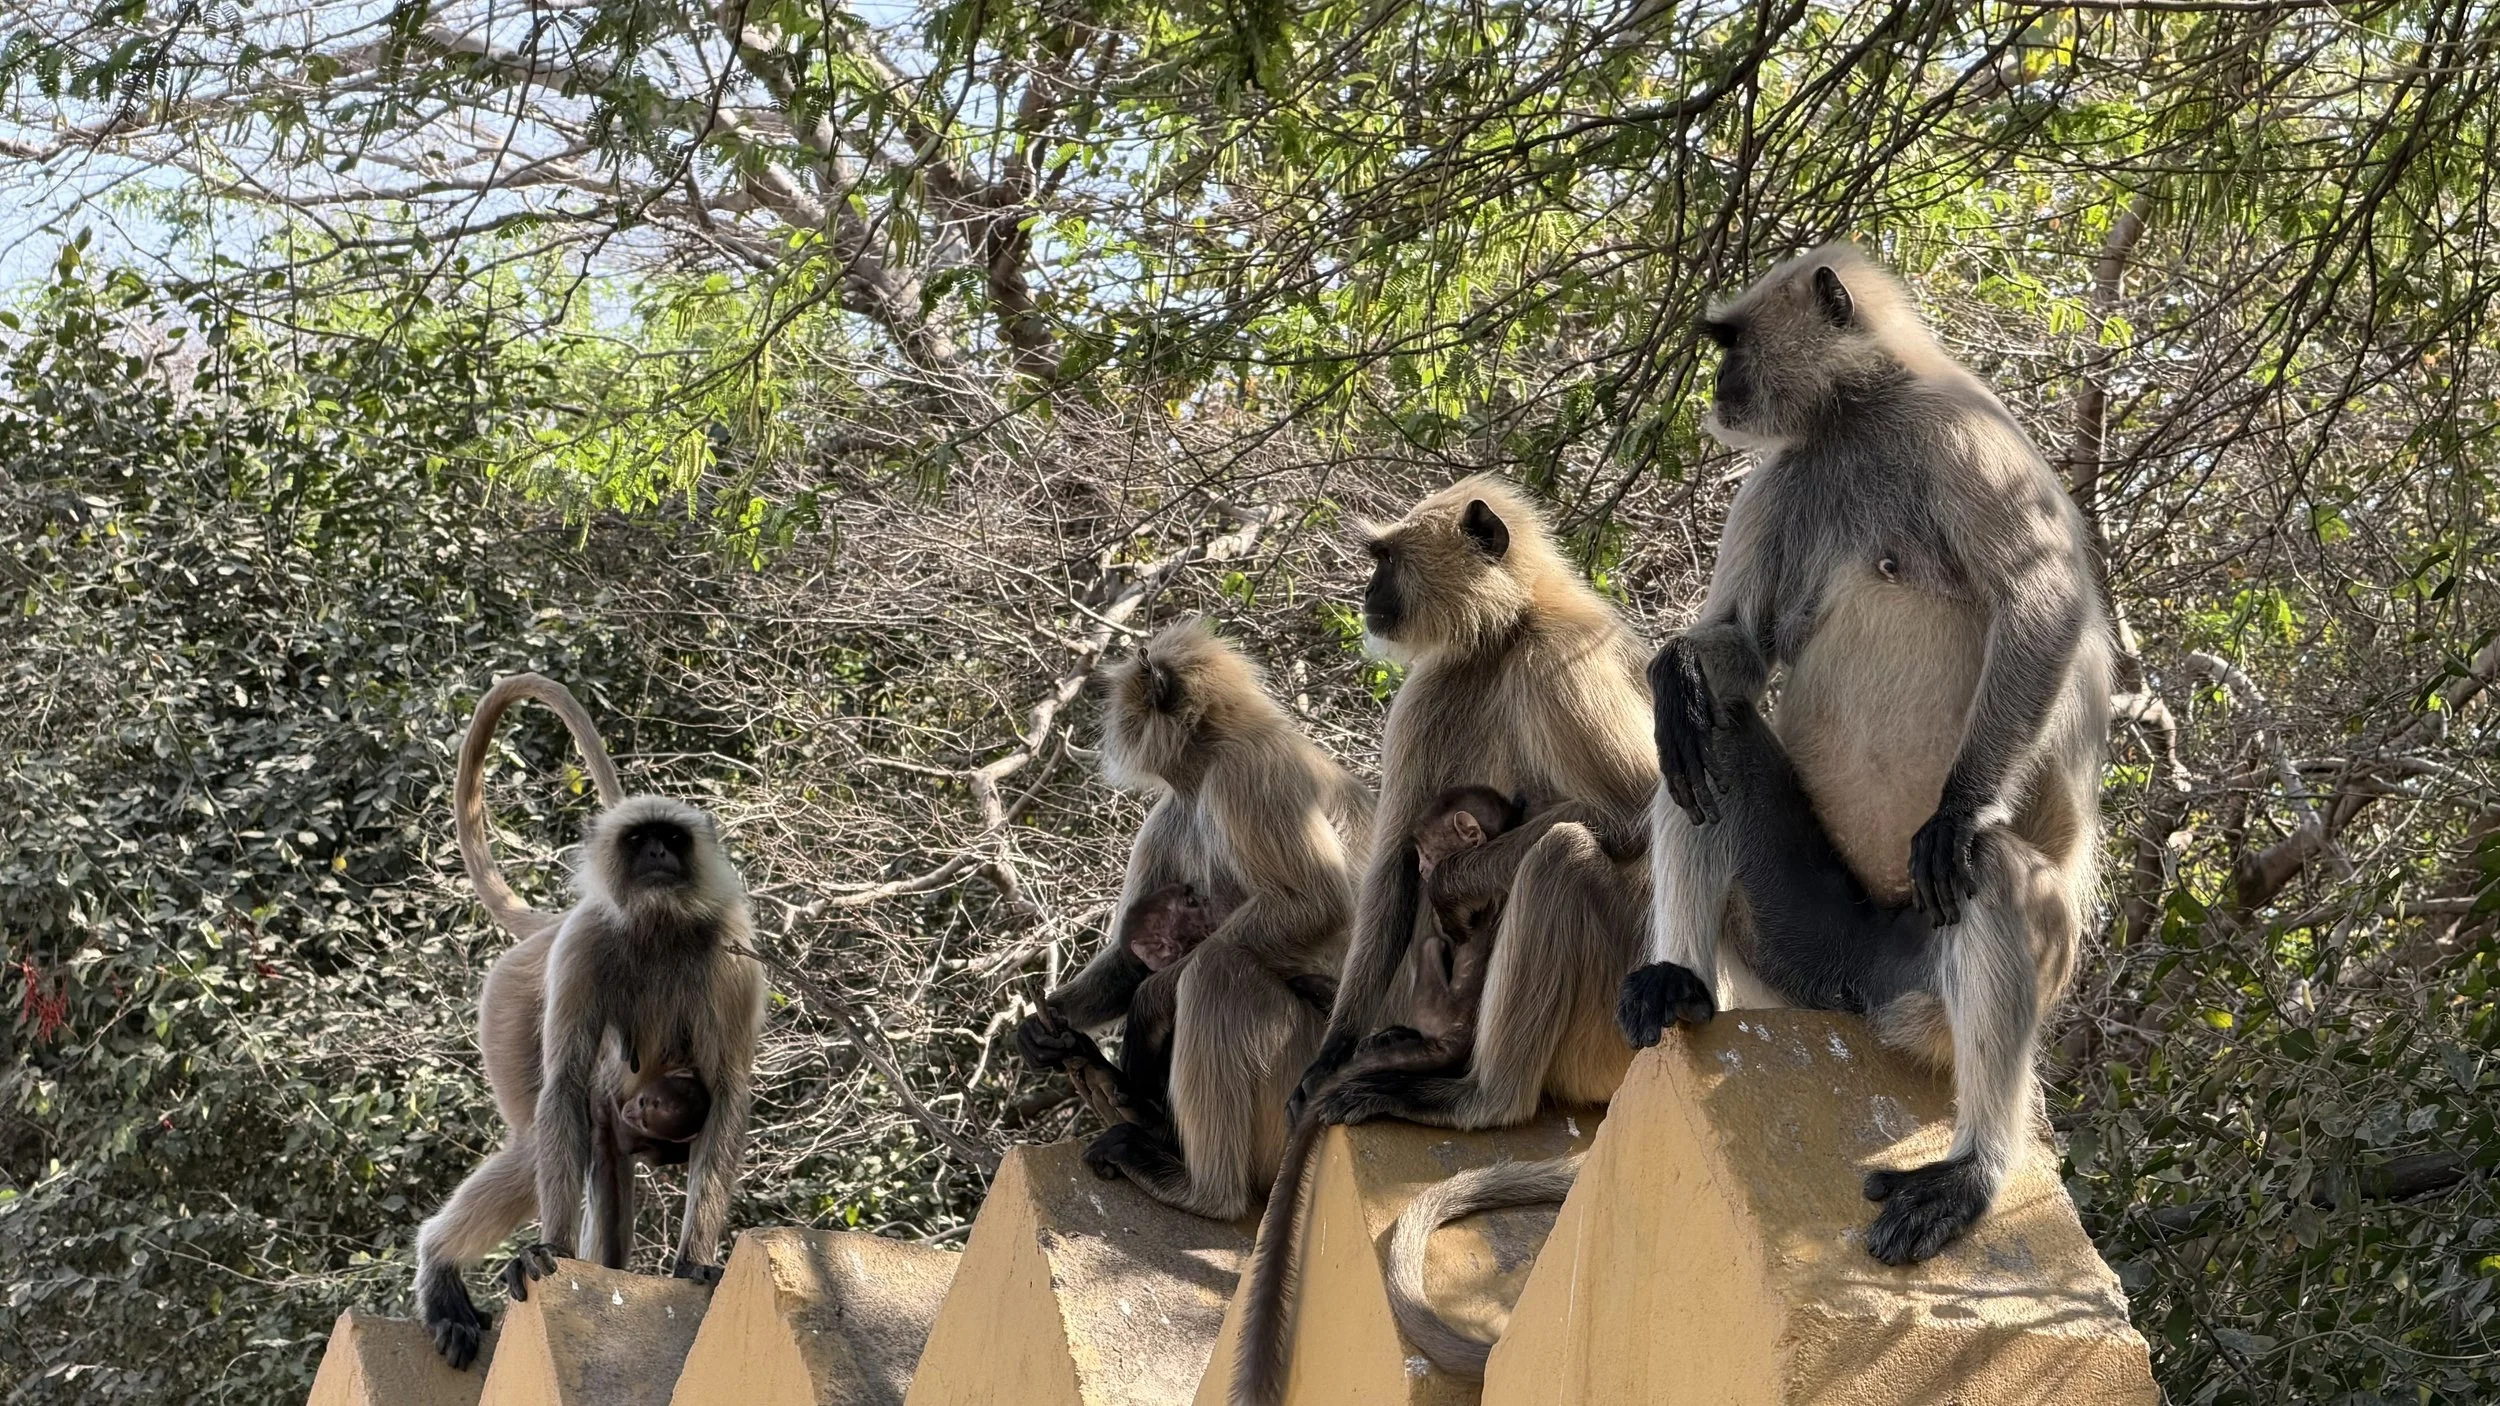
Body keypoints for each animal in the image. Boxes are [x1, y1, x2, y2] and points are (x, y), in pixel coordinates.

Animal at [414, 674, 767, 1369]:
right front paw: (549, 1251)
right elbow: (567, 1085)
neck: (657, 922)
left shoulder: (731, 952)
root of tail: (545, 928)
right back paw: (440, 1267)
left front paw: (694, 1263)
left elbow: (727, 1091)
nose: (655, 850)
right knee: (539, 1135)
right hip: (512, 1004)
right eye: (638, 840)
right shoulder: (584, 944)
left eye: (672, 839)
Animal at [1014, 618, 1373, 1221]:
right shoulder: (1174, 810)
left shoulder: (1247, 775)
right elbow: (1126, 955)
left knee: (1216, 972)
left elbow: (1316, 904)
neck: (1205, 763)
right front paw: (1047, 1027)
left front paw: (1149, 1002)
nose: (1108, 726)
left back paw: (1203, 1192)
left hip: (1298, 1080)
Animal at [1236, 480, 1657, 1405]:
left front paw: (1456, 872)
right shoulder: (1439, 682)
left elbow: (1639, 813)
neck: (1508, 634)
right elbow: (1392, 865)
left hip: (1614, 1016)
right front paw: (1330, 1056)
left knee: (1563, 854)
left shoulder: (1563, 661)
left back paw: (1477, 1096)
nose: (1368, 596)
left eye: (1385, 559)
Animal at [1620, 242, 2111, 1267]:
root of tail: (1861, 982)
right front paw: (1673, 667)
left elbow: (2043, 602)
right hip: (1802, 942)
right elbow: (1743, 648)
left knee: (1988, 867)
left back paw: (1974, 1170)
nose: (1718, 389)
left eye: (1730, 343)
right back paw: (1682, 979)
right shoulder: (1787, 476)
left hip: (1944, 975)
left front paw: (1958, 808)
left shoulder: (1955, 435)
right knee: (1703, 744)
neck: (1859, 417)